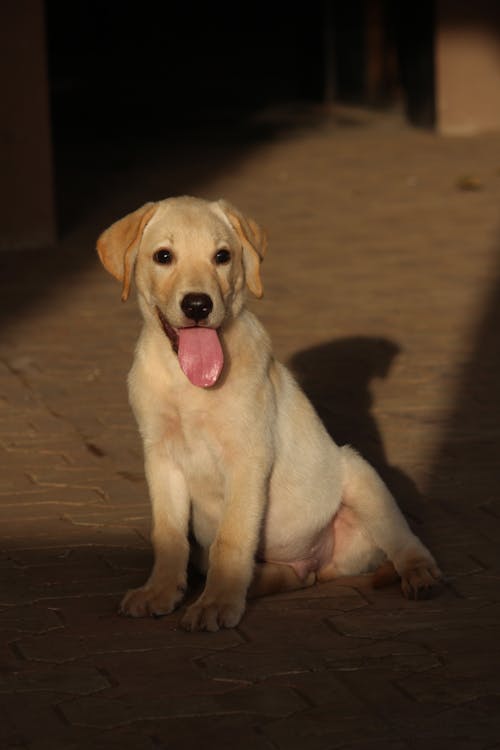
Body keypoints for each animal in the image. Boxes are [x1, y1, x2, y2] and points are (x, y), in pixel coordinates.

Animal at [97, 197, 442, 632]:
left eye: (222, 256)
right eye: (163, 256)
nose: (198, 305)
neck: (188, 383)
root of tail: (317, 560)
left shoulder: (248, 458)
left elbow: (231, 538)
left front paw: (216, 603)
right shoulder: (160, 457)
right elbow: (169, 534)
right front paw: (160, 592)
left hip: (361, 475)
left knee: (404, 542)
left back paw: (420, 574)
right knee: (291, 575)